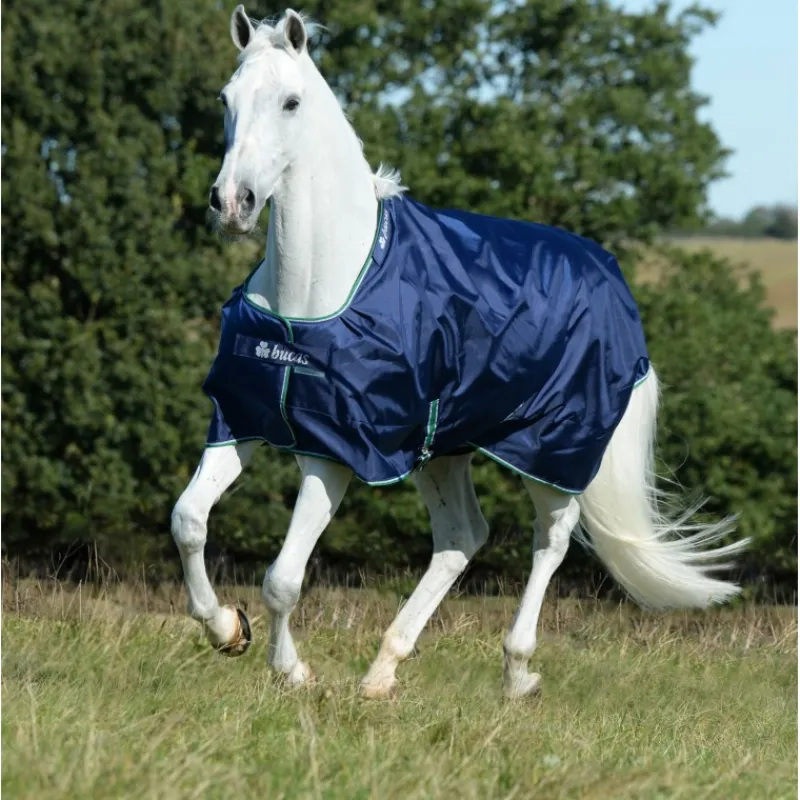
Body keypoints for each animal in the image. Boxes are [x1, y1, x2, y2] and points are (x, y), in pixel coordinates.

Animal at [171, 7, 749, 699]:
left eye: (291, 102)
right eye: (225, 99)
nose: (232, 204)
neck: (314, 294)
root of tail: (609, 275)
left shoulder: (334, 452)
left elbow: (282, 578)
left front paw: (293, 672)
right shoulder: (243, 419)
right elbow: (188, 521)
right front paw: (226, 629)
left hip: (550, 448)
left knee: (552, 539)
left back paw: (517, 671)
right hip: (443, 447)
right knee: (462, 536)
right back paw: (383, 671)